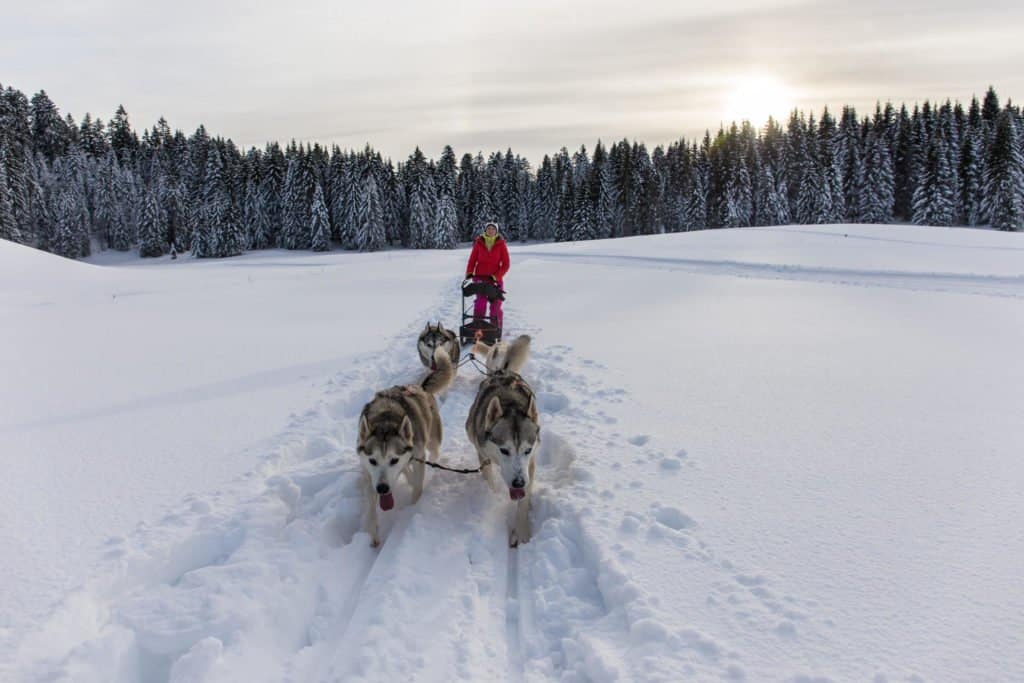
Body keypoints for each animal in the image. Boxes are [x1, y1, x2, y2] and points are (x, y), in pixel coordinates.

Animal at [360, 350, 456, 548]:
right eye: (373, 460)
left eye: (393, 459)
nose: (382, 488)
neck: (385, 421)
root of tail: (421, 387)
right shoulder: (368, 473)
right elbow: (371, 507)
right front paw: (372, 532)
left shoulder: (417, 457)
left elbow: (417, 486)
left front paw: (412, 510)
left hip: (432, 442)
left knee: (433, 455)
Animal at [466, 370, 540, 548]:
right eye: (504, 450)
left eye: (527, 450)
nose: (518, 483)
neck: (511, 405)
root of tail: (502, 371)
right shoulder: (483, 454)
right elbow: (489, 480)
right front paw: (491, 495)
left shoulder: (530, 465)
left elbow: (523, 502)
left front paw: (522, 533)